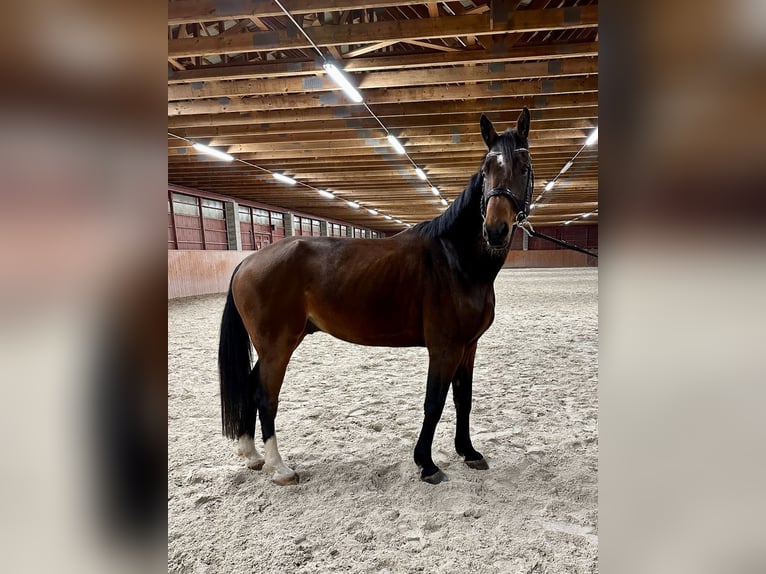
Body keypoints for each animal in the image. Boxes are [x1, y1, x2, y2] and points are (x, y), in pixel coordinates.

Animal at [219, 109, 536, 486]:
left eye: (524, 165)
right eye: (487, 167)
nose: (495, 230)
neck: (455, 258)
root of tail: (247, 261)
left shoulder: (468, 346)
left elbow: (464, 399)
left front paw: (469, 452)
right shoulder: (444, 348)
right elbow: (434, 403)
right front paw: (427, 464)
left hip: (274, 346)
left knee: (251, 386)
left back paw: (252, 455)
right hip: (277, 347)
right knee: (265, 396)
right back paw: (279, 467)